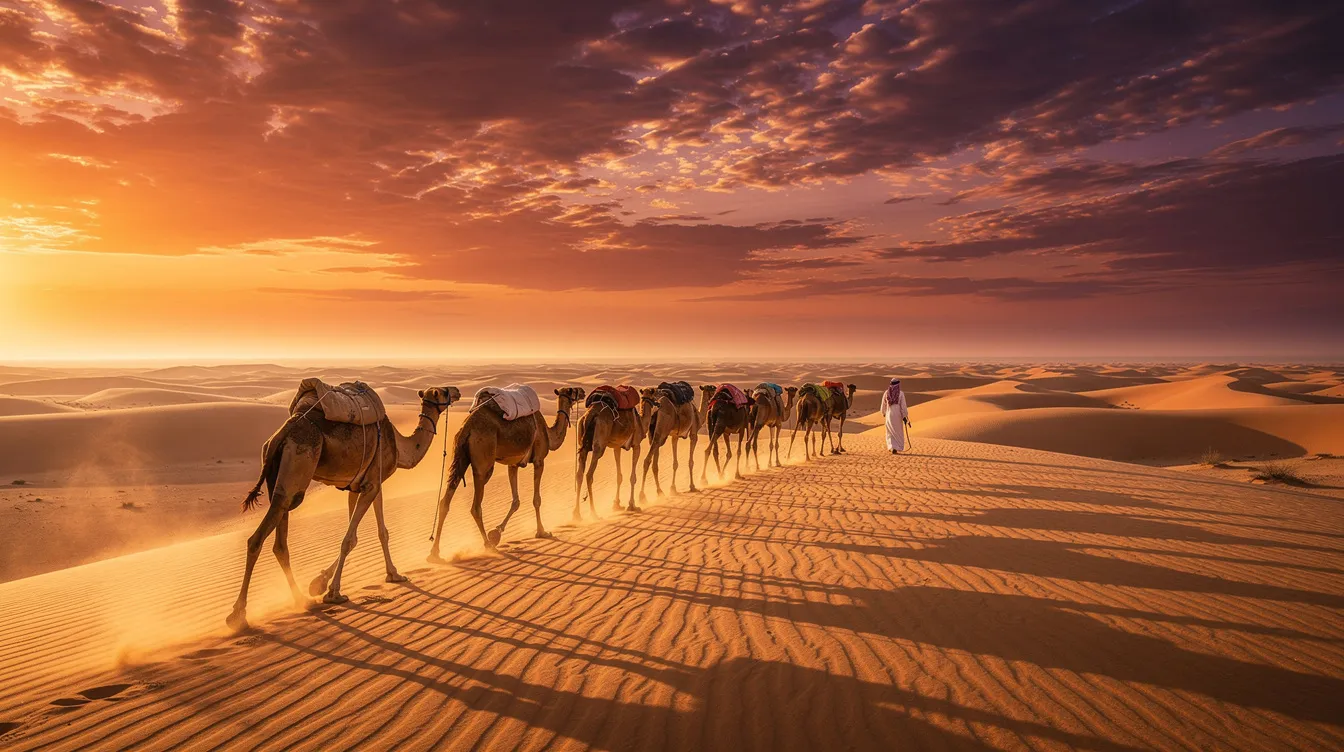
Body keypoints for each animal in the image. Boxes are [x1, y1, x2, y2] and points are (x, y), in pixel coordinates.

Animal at [226, 386, 461, 633]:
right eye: (444, 391)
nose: (457, 391)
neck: (399, 446)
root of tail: (281, 433)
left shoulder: (365, 485)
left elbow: (377, 533)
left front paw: (392, 574)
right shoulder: (371, 485)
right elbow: (349, 539)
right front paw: (333, 592)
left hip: (279, 482)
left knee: (280, 543)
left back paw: (301, 599)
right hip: (297, 469)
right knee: (256, 540)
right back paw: (238, 616)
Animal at [428, 387, 585, 557]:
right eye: (572, 391)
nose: (583, 392)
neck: (548, 434)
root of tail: (466, 428)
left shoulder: (513, 465)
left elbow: (516, 501)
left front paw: (497, 532)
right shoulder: (539, 460)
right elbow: (536, 500)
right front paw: (542, 532)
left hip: (459, 457)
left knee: (445, 500)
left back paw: (434, 553)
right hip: (483, 462)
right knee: (476, 506)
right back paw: (488, 545)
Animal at [573, 389, 651, 519]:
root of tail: (591, 414)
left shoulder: (617, 447)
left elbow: (619, 476)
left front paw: (616, 504)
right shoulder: (636, 445)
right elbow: (633, 477)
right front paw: (632, 505)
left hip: (582, 439)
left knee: (579, 474)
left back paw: (576, 515)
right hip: (599, 444)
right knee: (589, 475)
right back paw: (594, 513)